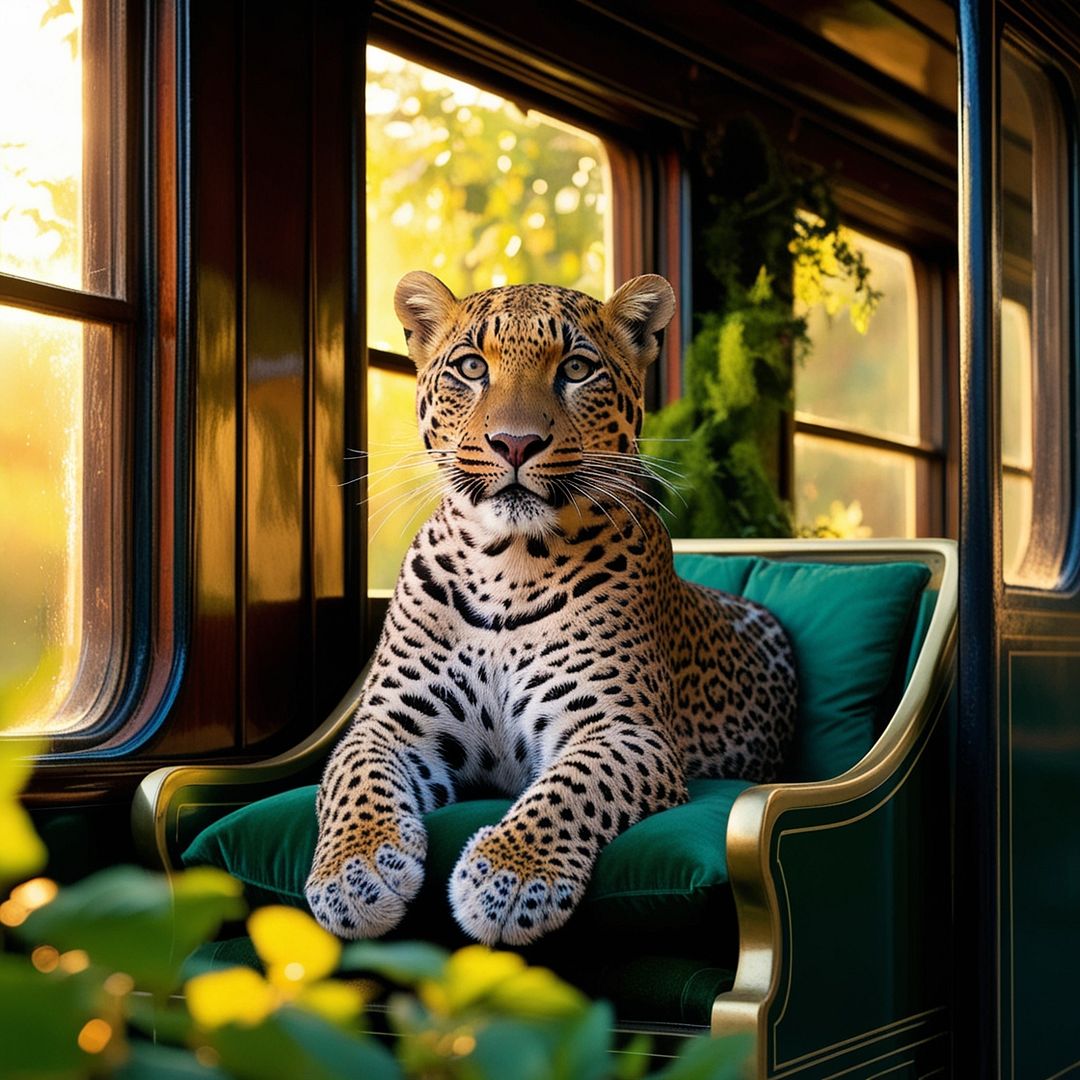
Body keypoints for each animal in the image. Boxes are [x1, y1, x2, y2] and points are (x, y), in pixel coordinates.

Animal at [308, 270, 799, 946]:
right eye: (471, 367)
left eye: (576, 368)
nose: (515, 443)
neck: (506, 564)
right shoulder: (389, 722)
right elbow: (356, 780)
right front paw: (353, 871)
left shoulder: (624, 729)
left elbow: (572, 789)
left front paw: (512, 875)